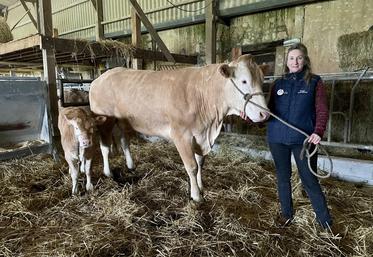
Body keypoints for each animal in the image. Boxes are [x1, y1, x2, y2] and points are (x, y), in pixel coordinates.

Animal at [88, 54, 268, 202]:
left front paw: (201, 187)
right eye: (244, 81)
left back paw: (131, 165)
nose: (264, 114)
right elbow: (192, 166)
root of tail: (100, 78)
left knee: (124, 141)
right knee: (105, 147)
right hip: (105, 120)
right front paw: (196, 196)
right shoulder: (182, 136)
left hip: (121, 122)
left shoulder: (200, 136)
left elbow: (200, 163)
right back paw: (108, 172)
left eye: (262, 80)